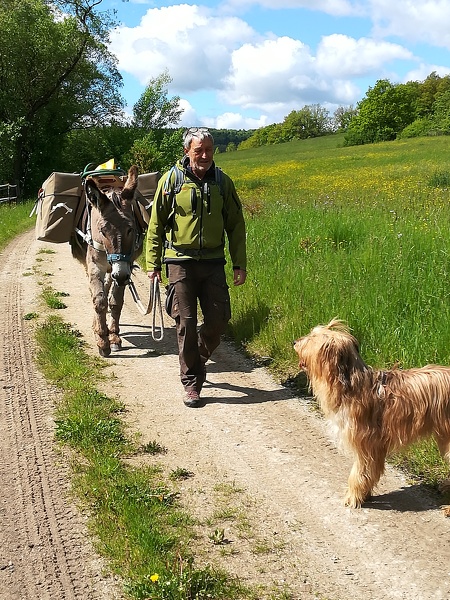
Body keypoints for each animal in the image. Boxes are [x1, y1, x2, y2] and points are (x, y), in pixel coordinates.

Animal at [70, 165, 145, 357]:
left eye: (131, 229)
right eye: (102, 230)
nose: (121, 275)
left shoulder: (125, 267)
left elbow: (115, 302)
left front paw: (113, 337)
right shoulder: (95, 266)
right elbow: (99, 301)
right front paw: (102, 341)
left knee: (107, 286)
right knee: (96, 292)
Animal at [294, 319, 450, 508]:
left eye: (312, 338)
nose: (294, 342)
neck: (351, 385)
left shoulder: (365, 443)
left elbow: (359, 472)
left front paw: (353, 497)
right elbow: (370, 473)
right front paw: (364, 494)